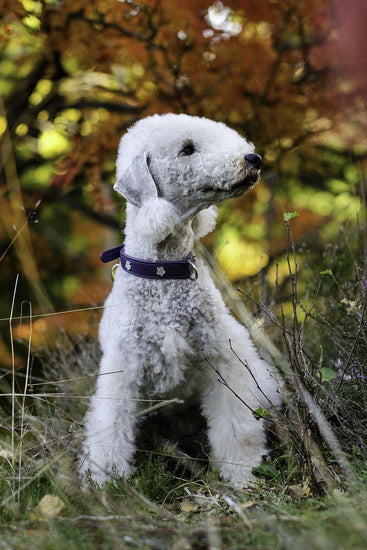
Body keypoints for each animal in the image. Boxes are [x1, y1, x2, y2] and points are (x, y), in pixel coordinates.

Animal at [80, 114, 282, 486]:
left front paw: (244, 473)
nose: (253, 158)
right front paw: (105, 482)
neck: (163, 271)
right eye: (187, 149)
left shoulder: (222, 359)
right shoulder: (123, 370)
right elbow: (110, 429)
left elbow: (237, 426)